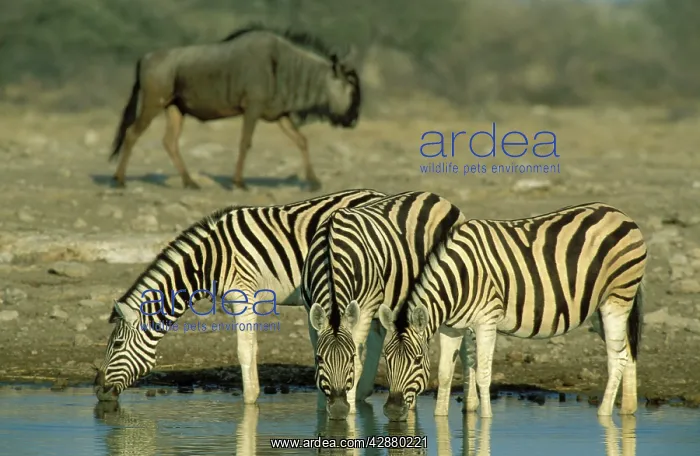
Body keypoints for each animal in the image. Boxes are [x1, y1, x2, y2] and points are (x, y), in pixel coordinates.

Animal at [93, 188, 386, 403]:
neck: (210, 260)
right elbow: (251, 349)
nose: (97, 389)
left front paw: (249, 403)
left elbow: (244, 351)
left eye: (116, 345)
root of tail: (376, 193)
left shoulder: (243, 296)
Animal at [300, 190, 467, 420]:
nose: (338, 409)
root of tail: (437, 197)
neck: (330, 252)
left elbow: (358, 364)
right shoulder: (311, 310)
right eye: (319, 359)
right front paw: (321, 413)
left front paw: (350, 415)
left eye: (351, 357)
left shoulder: (366, 307)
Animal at [378, 202, 647, 421]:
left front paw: (486, 421)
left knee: (617, 357)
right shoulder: (451, 327)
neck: (460, 278)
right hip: (597, 308)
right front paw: (440, 419)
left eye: (416, 360)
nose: (392, 410)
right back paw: (628, 410)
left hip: (617, 299)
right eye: (387, 359)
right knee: (627, 351)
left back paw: (604, 414)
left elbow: (483, 375)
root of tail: (619, 213)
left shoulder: (486, 320)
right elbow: (444, 374)